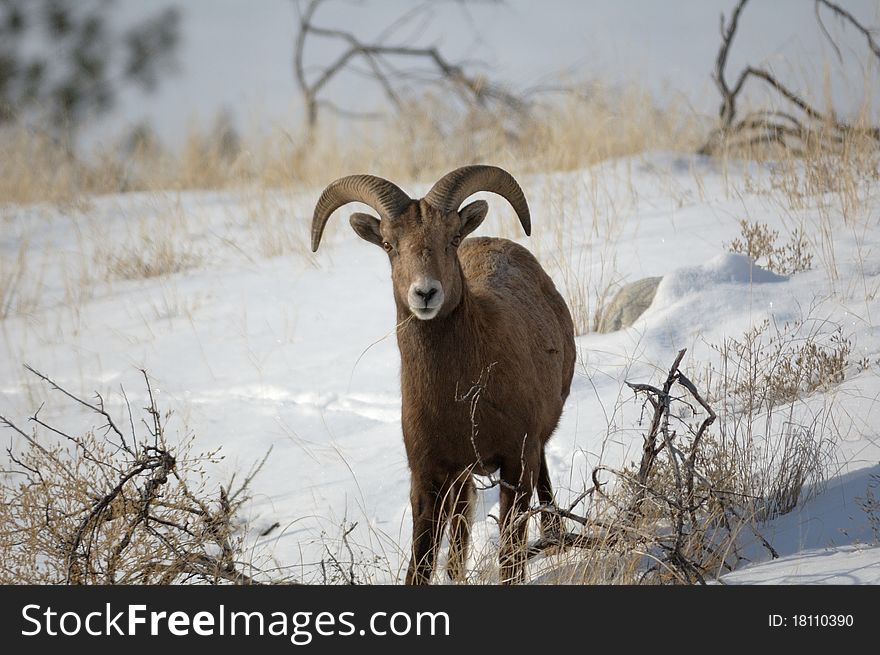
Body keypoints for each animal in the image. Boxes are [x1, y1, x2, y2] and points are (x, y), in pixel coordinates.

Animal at [312, 165, 576, 584]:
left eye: (451, 239)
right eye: (388, 244)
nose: (425, 294)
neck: (460, 397)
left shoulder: (517, 463)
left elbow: (510, 558)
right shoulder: (428, 478)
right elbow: (419, 566)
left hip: (534, 448)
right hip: (462, 477)